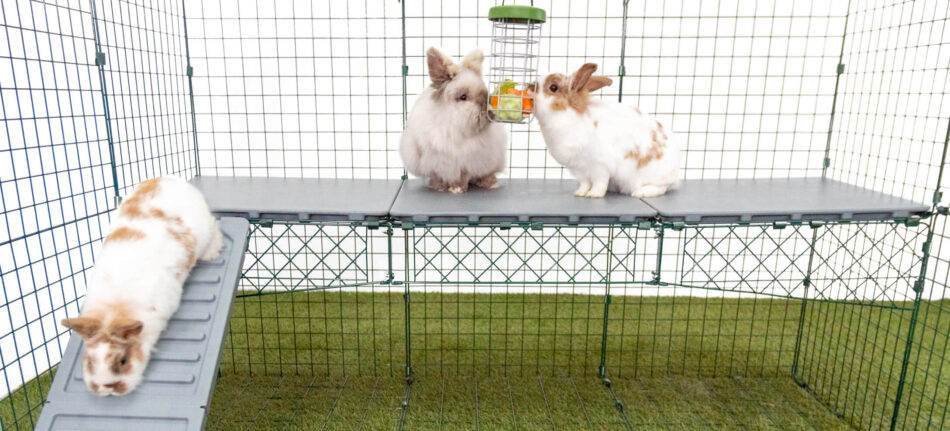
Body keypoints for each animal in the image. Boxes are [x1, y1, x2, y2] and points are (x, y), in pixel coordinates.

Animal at [61, 176, 221, 398]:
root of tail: (169, 179)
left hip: (205, 230)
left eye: (123, 361)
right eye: (91, 362)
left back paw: (211, 254)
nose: (107, 389)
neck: (114, 309)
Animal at [398, 47, 510, 194]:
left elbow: (464, 176)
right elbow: (438, 177)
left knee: (488, 173)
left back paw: (491, 183)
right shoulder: (434, 162)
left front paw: (458, 188)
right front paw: (441, 187)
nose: (487, 110)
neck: (455, 128)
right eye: (463, 97)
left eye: (485, 91)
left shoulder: (469, 161)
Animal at [532, 63, 680, 198]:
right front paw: (580, 193)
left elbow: (599, 182)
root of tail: (675, 170)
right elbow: (585, 183)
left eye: (553, 87)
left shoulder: (600, 166)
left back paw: (641, 192)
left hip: (653, 176)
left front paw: (594, 194)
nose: (530, 86)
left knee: (662, 187)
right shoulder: (579, 169)